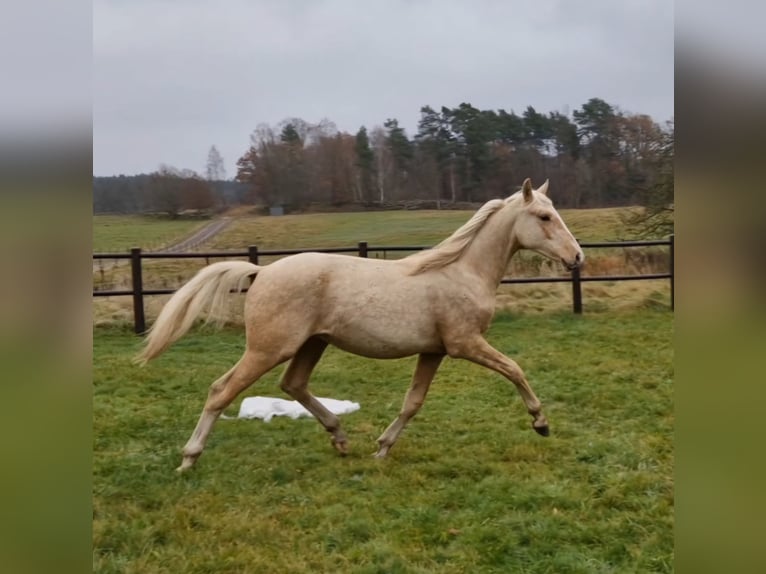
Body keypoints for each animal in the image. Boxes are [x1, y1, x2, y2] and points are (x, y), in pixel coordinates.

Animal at [138, 179, 584, 472]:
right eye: (544, 216)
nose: (577, 257)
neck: (463, 271)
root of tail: (260, 272)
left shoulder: (434, 351)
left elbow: (413, 402)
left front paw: (382, 448)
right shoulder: (465, 343)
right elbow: (515, 369)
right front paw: (541, 423)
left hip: (312, 344)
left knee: (293, 384)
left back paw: (340, 438)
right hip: (269, 348)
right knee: (221, 390)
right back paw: (189, 459)